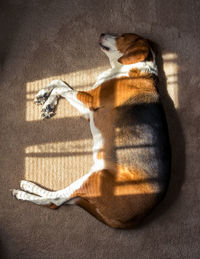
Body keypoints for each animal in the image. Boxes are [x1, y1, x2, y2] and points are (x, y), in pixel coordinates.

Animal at [12, 33, 170, 230]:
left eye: (122, 36)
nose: (102, 33)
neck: (134, 68)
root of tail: (133, 220)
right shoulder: (89, 111)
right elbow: (60, 82)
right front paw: (46, 100)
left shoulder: (92, 100)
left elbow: (61, 87)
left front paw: (48, 100)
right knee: (60, 200)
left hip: (95, 179)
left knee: (56, 200)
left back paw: (25, 190)